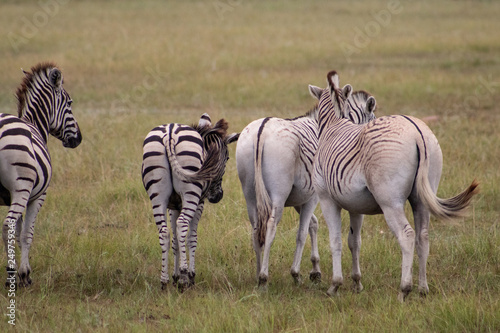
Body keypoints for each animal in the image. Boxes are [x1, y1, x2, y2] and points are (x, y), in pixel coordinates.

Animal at [0, 61, 82, 286]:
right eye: (70, 103)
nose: (79, 139)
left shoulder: (14, 197)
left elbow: (19, 234)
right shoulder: (36, 196)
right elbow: (26, 234)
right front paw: (25, 274)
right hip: (22, 186)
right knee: (7, 226)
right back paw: (11, 275)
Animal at [142, 113, 239, 290]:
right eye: (228, 158)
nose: (217, 197)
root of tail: (169, 134)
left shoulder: (173, 206)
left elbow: (175, 241)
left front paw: (175, 276)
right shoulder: (199, 203)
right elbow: (191, 238)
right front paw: (188, 275)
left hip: (157, 195)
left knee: (164, 232)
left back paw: (164, 281)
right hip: (191, 194)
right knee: (182, 225)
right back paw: (184, 279)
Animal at [236, 89, 376, 286]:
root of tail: (262, 129)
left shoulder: (298, 198)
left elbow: (313, 224)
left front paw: (315, 269)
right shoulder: (313, 196)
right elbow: (301, 233)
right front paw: (296, 274)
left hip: (249, 191)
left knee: (256, 229)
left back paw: (258, 274)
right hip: (278, 193)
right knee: (271, 226)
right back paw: (264, 277)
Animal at [310, 70, 478, 300]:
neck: (333, 126)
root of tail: (416, 132)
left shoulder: (327, 199)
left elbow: (335, 241)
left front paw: (335, 285)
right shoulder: (356, 206)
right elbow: (354, 242)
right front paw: (357, 284)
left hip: (389, 201)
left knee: (407, 235)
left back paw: (404, 290)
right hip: (421, 197)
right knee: (423, 236)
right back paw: (422, 289)